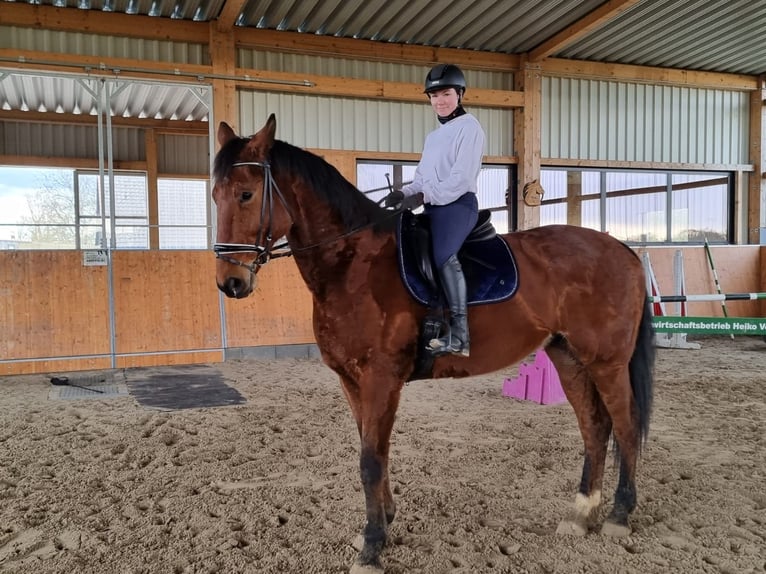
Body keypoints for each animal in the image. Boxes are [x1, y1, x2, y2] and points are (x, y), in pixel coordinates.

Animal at [210, 115, 656, 572]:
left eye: (245, 194)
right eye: (215, 195)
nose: (231, 283)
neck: (353, 264)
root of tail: (621, 248)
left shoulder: (381, 378)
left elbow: (370, 460)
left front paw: (373, 546)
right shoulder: (351, 380)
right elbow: (373, 450)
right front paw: (381, 524)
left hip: (606, 362)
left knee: (624, 425)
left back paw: (619, 516)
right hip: (568, 358)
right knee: (594, 427)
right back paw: (581, 513)